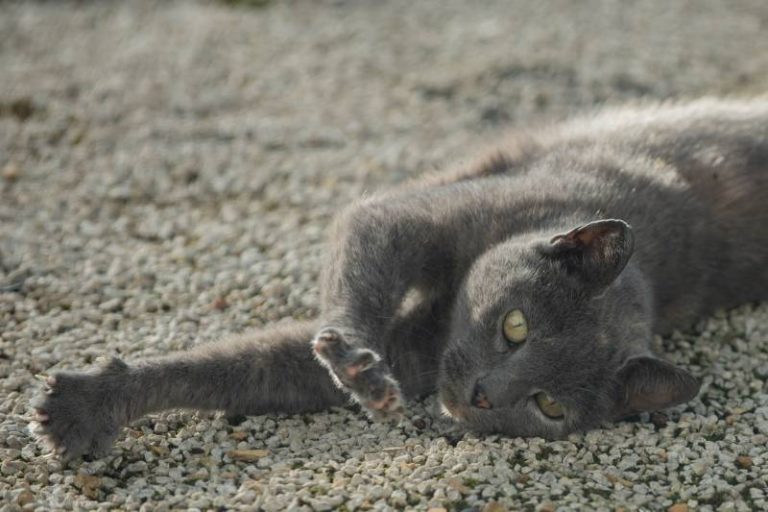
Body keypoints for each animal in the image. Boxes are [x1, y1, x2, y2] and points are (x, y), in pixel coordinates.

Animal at [30, 97, 768, 460]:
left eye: (548, 407)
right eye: (516, 325)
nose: (483, 396)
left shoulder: (423, 354)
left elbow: (253, 369)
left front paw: (86, 409)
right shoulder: (439, 214)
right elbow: (370, 237)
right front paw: (358, 364)